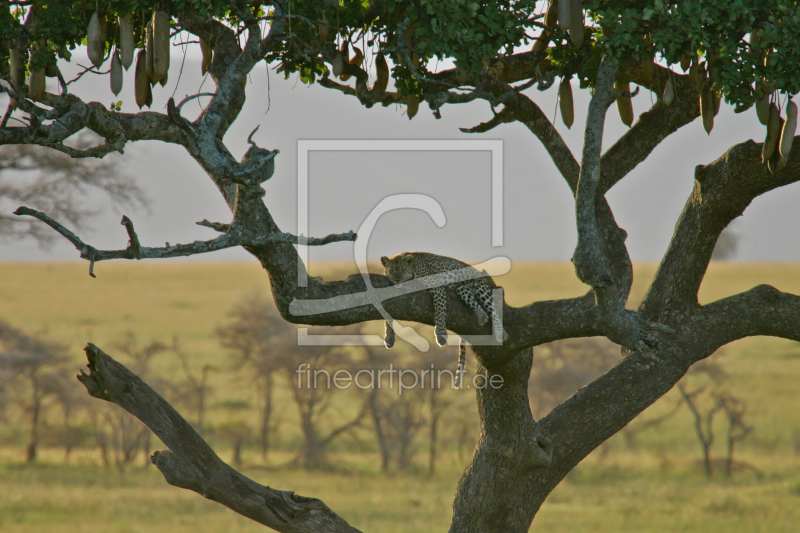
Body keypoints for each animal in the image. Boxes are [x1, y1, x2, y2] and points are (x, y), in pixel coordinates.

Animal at [382, 251, 506, 388]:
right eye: (391, 270)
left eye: (403, 269)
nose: (397, 279)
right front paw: (389, 338)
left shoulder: (437, 286)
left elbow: (440, 310)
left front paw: (441, 335)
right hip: (463, 290)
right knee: (479, 306)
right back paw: (482, 316)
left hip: (480, 286)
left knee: (494, 310)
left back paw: (501, 333)